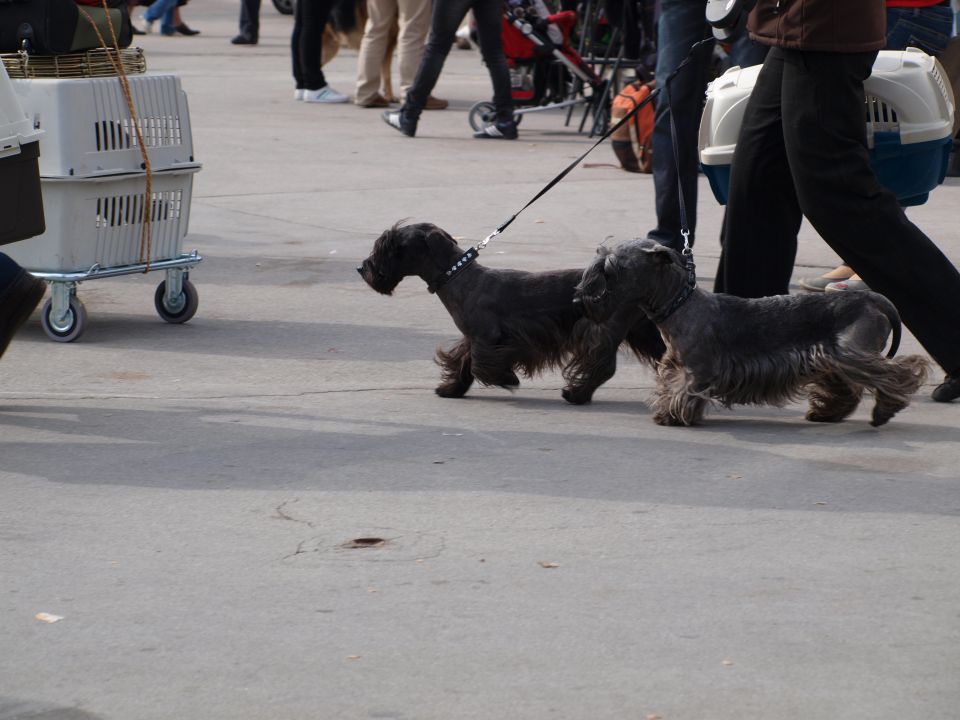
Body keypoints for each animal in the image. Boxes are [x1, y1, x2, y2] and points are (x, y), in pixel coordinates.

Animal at [356, 222, 664, 402]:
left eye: (390, 246)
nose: (362, 268)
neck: (458, 277)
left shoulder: (489, 337)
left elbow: (480, 364)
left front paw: (507, 378)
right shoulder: (474, 338)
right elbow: (464, 360)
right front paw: (451, 389)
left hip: (603, 330)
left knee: (602, 365)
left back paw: (576, 393)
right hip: (642, 332)